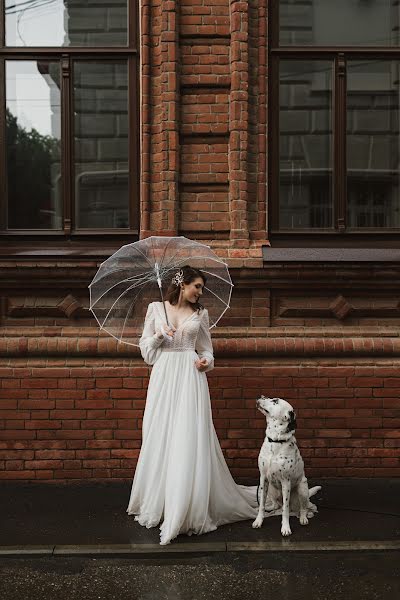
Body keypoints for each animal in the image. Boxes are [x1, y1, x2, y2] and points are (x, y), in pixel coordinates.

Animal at [253, 396, 322, 536]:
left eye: (275, 401)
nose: (261, 396)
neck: (275, 441)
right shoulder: (263, 478)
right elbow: (262, 503)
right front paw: (259, 520)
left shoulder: (286, 481)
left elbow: (285, 509)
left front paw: (285, 528)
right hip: (272, 489)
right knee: (276, 505)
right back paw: (270, 507)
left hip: (303, 489)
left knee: (303, 507)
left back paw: (303, 518)